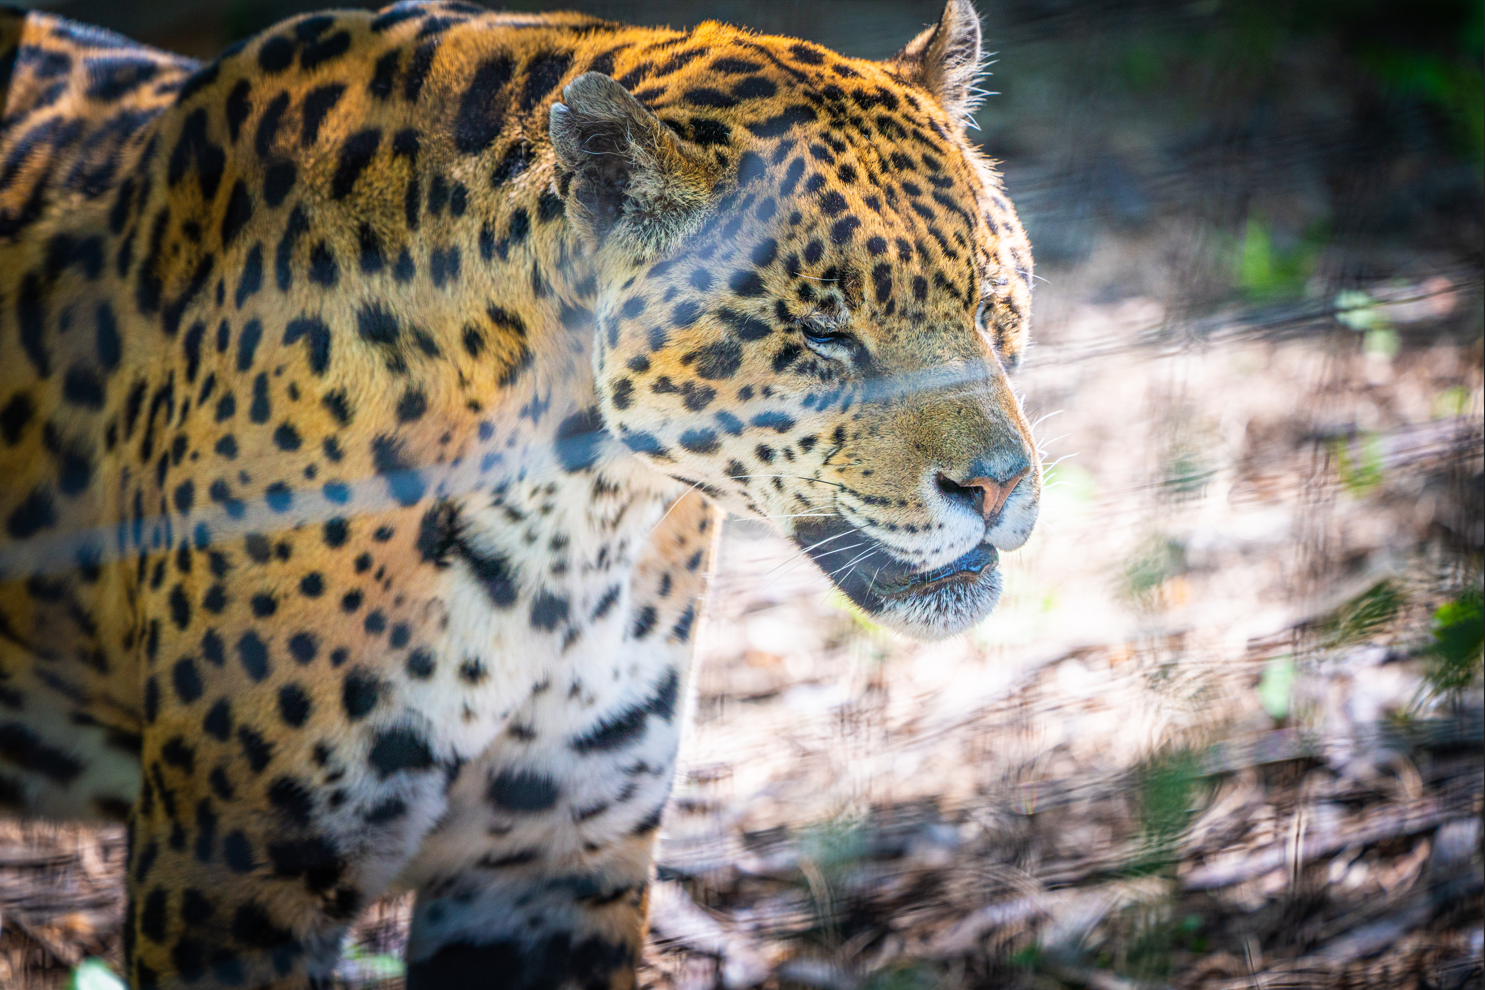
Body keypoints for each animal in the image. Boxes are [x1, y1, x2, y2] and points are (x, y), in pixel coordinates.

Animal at [0, 0, 1039, 986]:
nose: (997, 486)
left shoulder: (551, 859)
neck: (569, 525)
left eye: (990, 302)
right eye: (823, 334)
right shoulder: (236, 873)